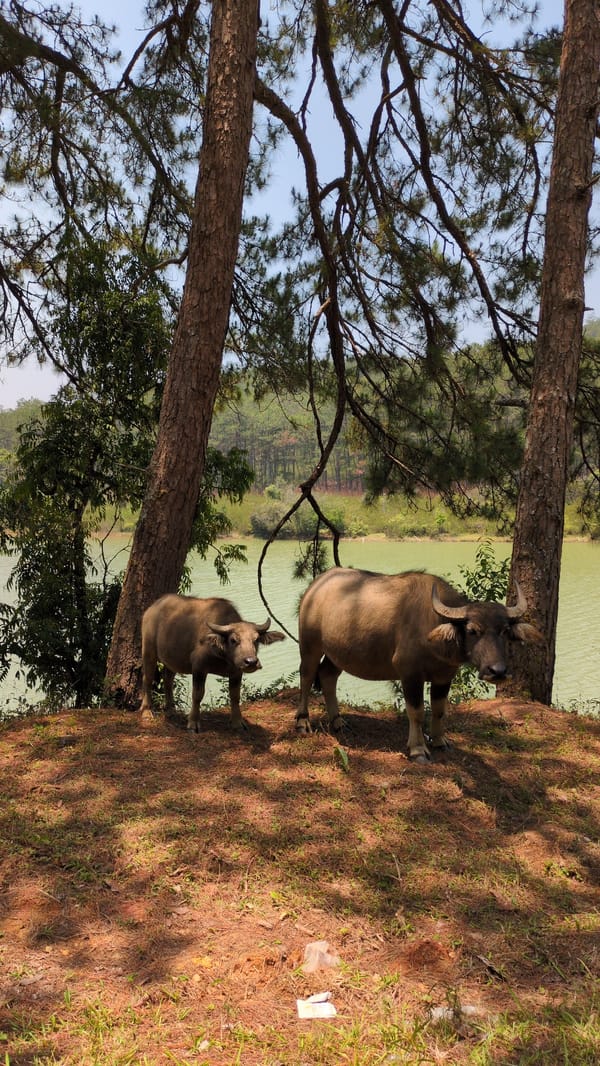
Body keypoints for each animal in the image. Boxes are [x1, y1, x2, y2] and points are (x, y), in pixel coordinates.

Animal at [140, 594, 285, 730]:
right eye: (233, 640)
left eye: (256, 640)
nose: (251, 662)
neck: (224, 656)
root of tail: (152, 608)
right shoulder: (199, 668)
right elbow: (197, 694)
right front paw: (193, 723)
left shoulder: (236, 673)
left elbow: (235, 696)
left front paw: (237, 722)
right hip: (148, 651)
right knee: (147, 679)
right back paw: (146, 712)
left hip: (172, 660)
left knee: (168, 680)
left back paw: (171, 711)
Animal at [296, 568, 543, 759]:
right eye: (473, 630)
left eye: (505, 630)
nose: (497, 671)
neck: (433, 628)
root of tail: (314, 587)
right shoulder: (410, 674)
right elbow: (416, 711)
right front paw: (418, 749)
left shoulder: (444, 676)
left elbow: (439, 710)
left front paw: (440, 741)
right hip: (310, 646)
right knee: (306, 677)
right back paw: (302, 722)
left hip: (337, 653)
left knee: (327, 676)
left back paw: (337, 722)